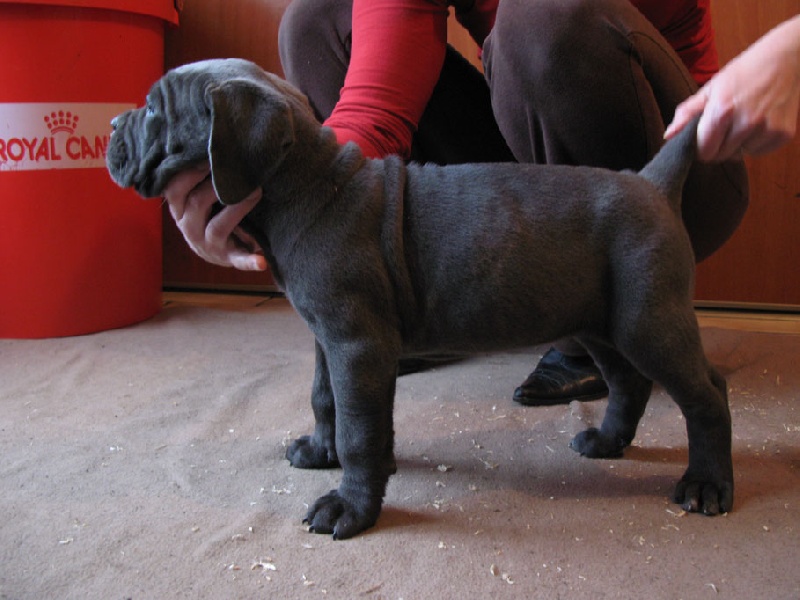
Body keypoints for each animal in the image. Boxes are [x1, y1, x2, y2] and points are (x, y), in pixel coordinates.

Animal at [106, 59, 732, 540]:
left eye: (156, 110)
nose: (112, 122)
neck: (308, 185)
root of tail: (651, 183)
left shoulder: (356, 345)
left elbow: (359, 428)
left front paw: (350, 506)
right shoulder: (329, 340)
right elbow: (326, 400)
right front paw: (322, 452)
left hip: (648, 318)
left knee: (707, 394)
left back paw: (707, 484)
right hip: (599, 322)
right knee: (630, 382)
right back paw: (607, 441)